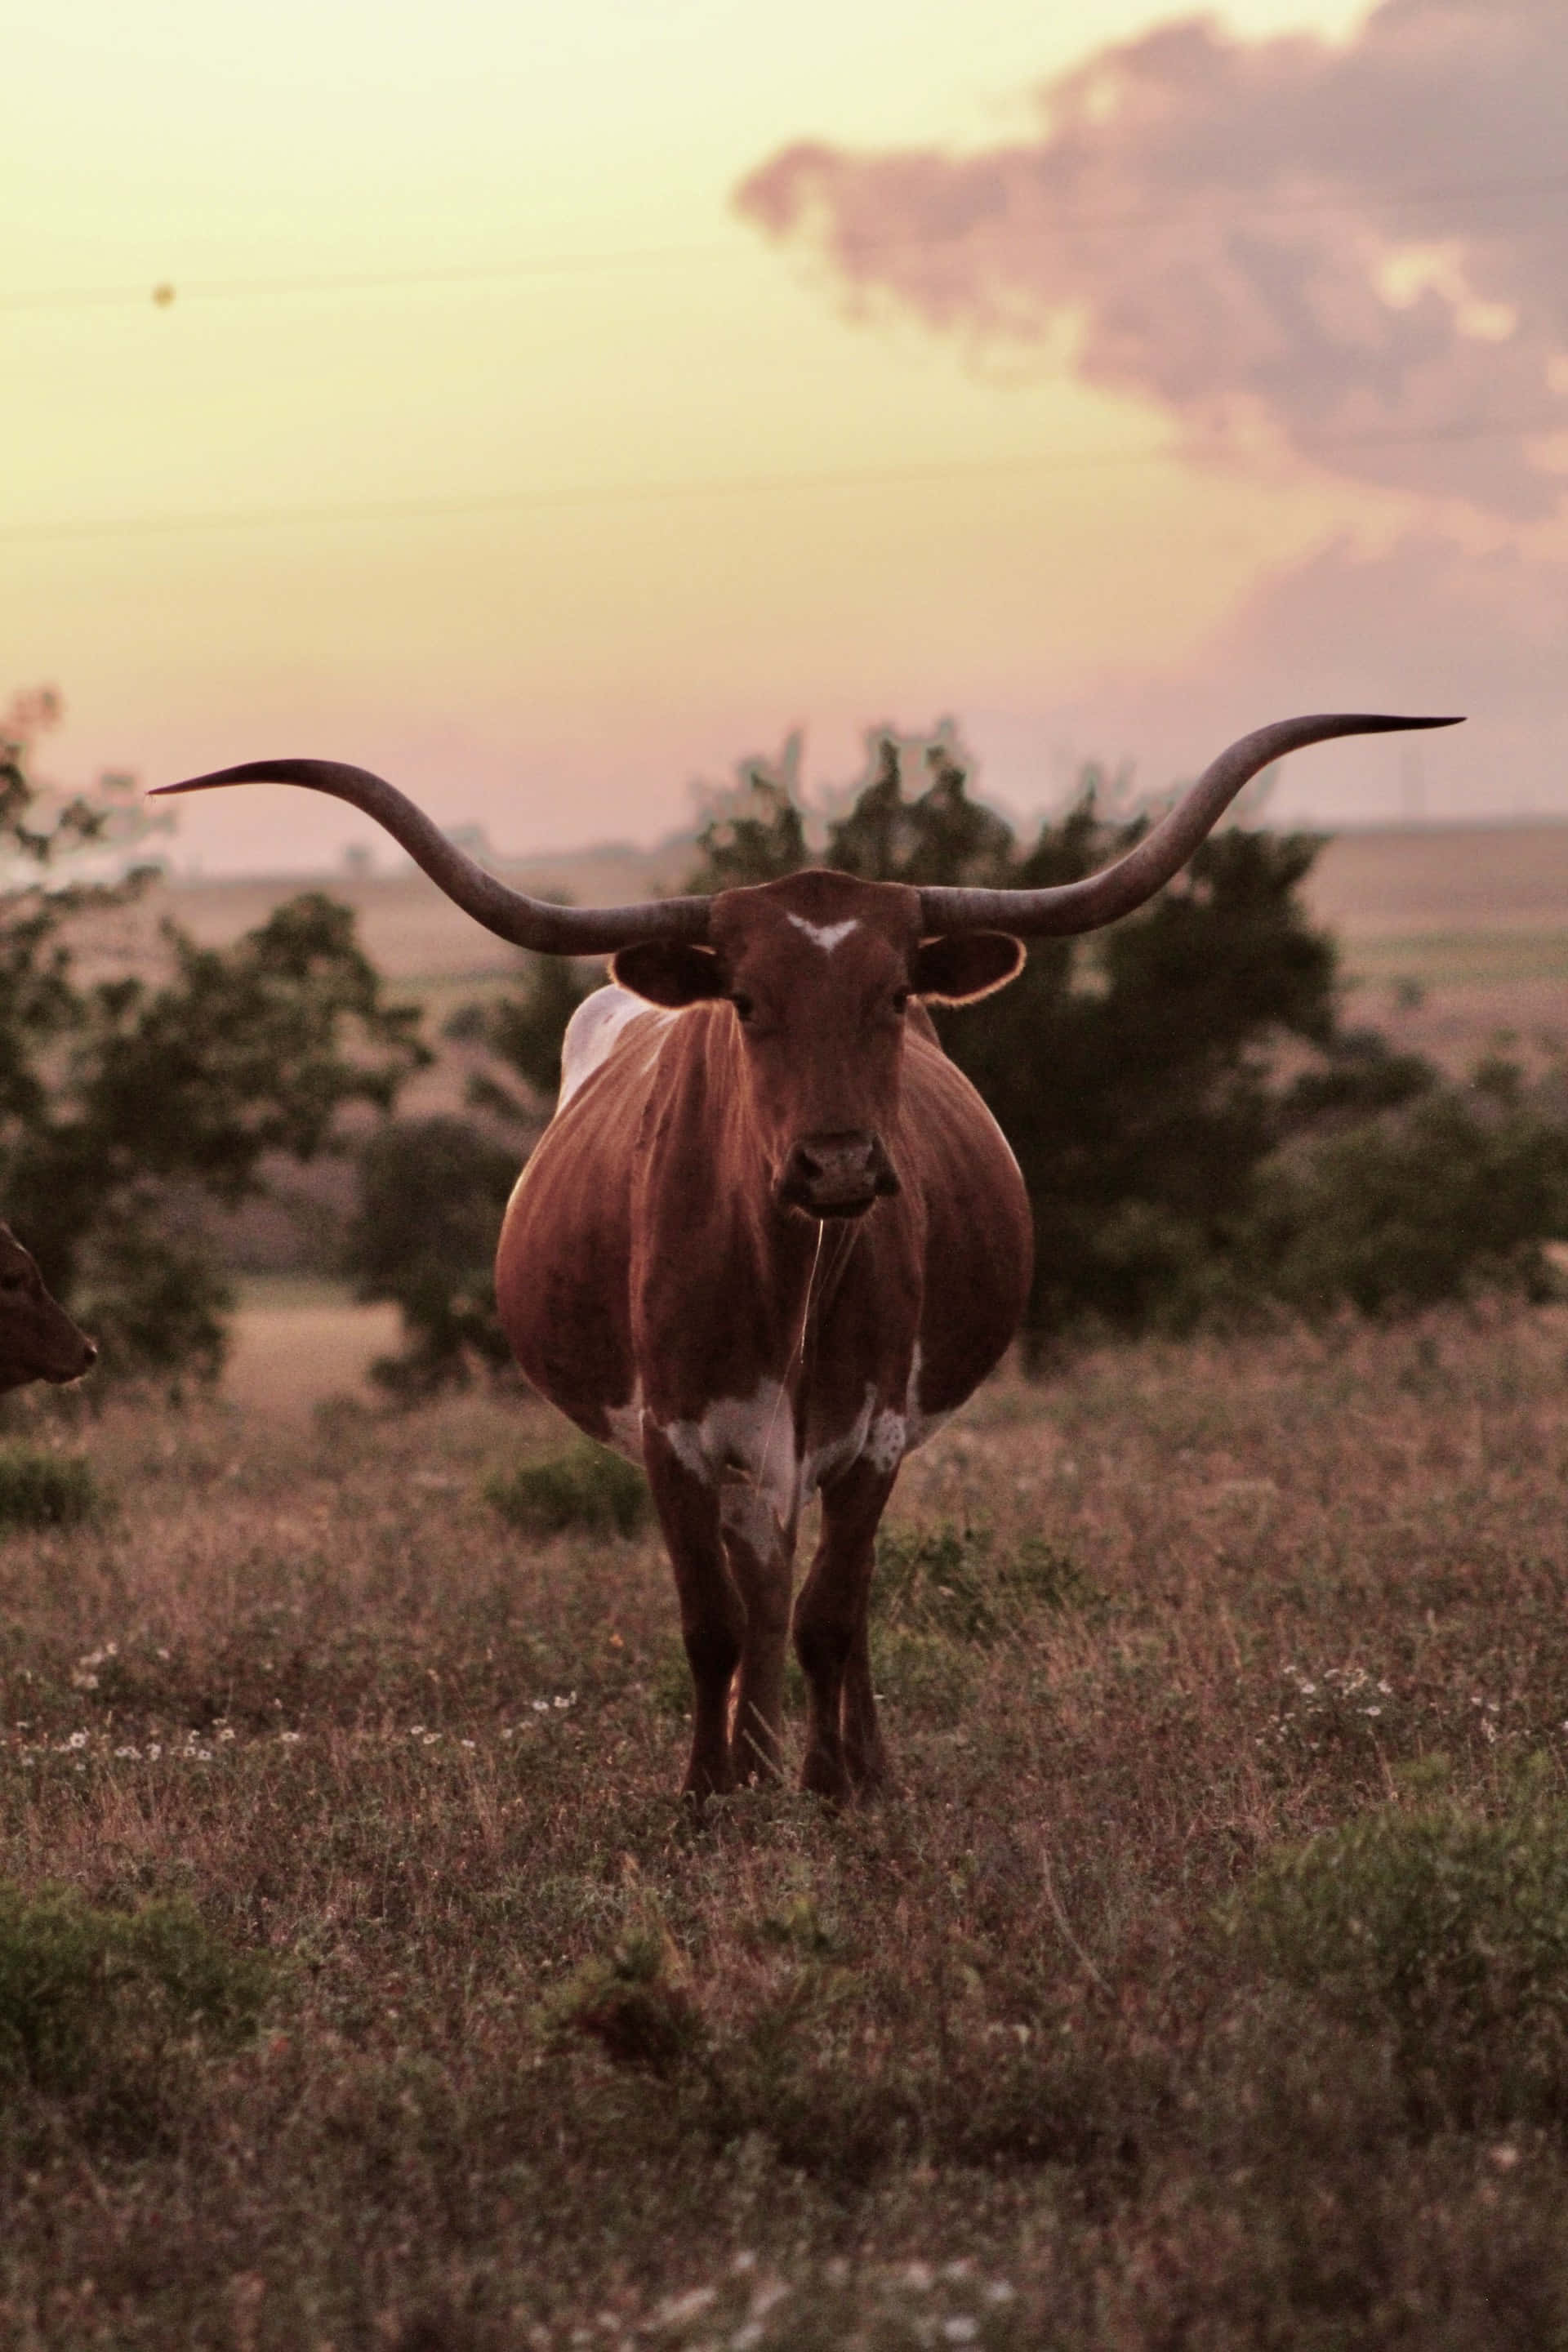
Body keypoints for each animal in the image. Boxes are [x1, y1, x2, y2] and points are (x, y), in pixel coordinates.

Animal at [156, 711, 1459, 1801]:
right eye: (746, 1000)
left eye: (892, 994)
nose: (835, 1166)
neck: (782, 1264)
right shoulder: (676, 1436)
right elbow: (714, 1625)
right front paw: (711, 1795)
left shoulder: (872, 1430)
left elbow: (836, 1615)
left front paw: (838, 1788)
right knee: (759, 1597)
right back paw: (756, 1749)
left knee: (828, 1600)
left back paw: (836, 1758)